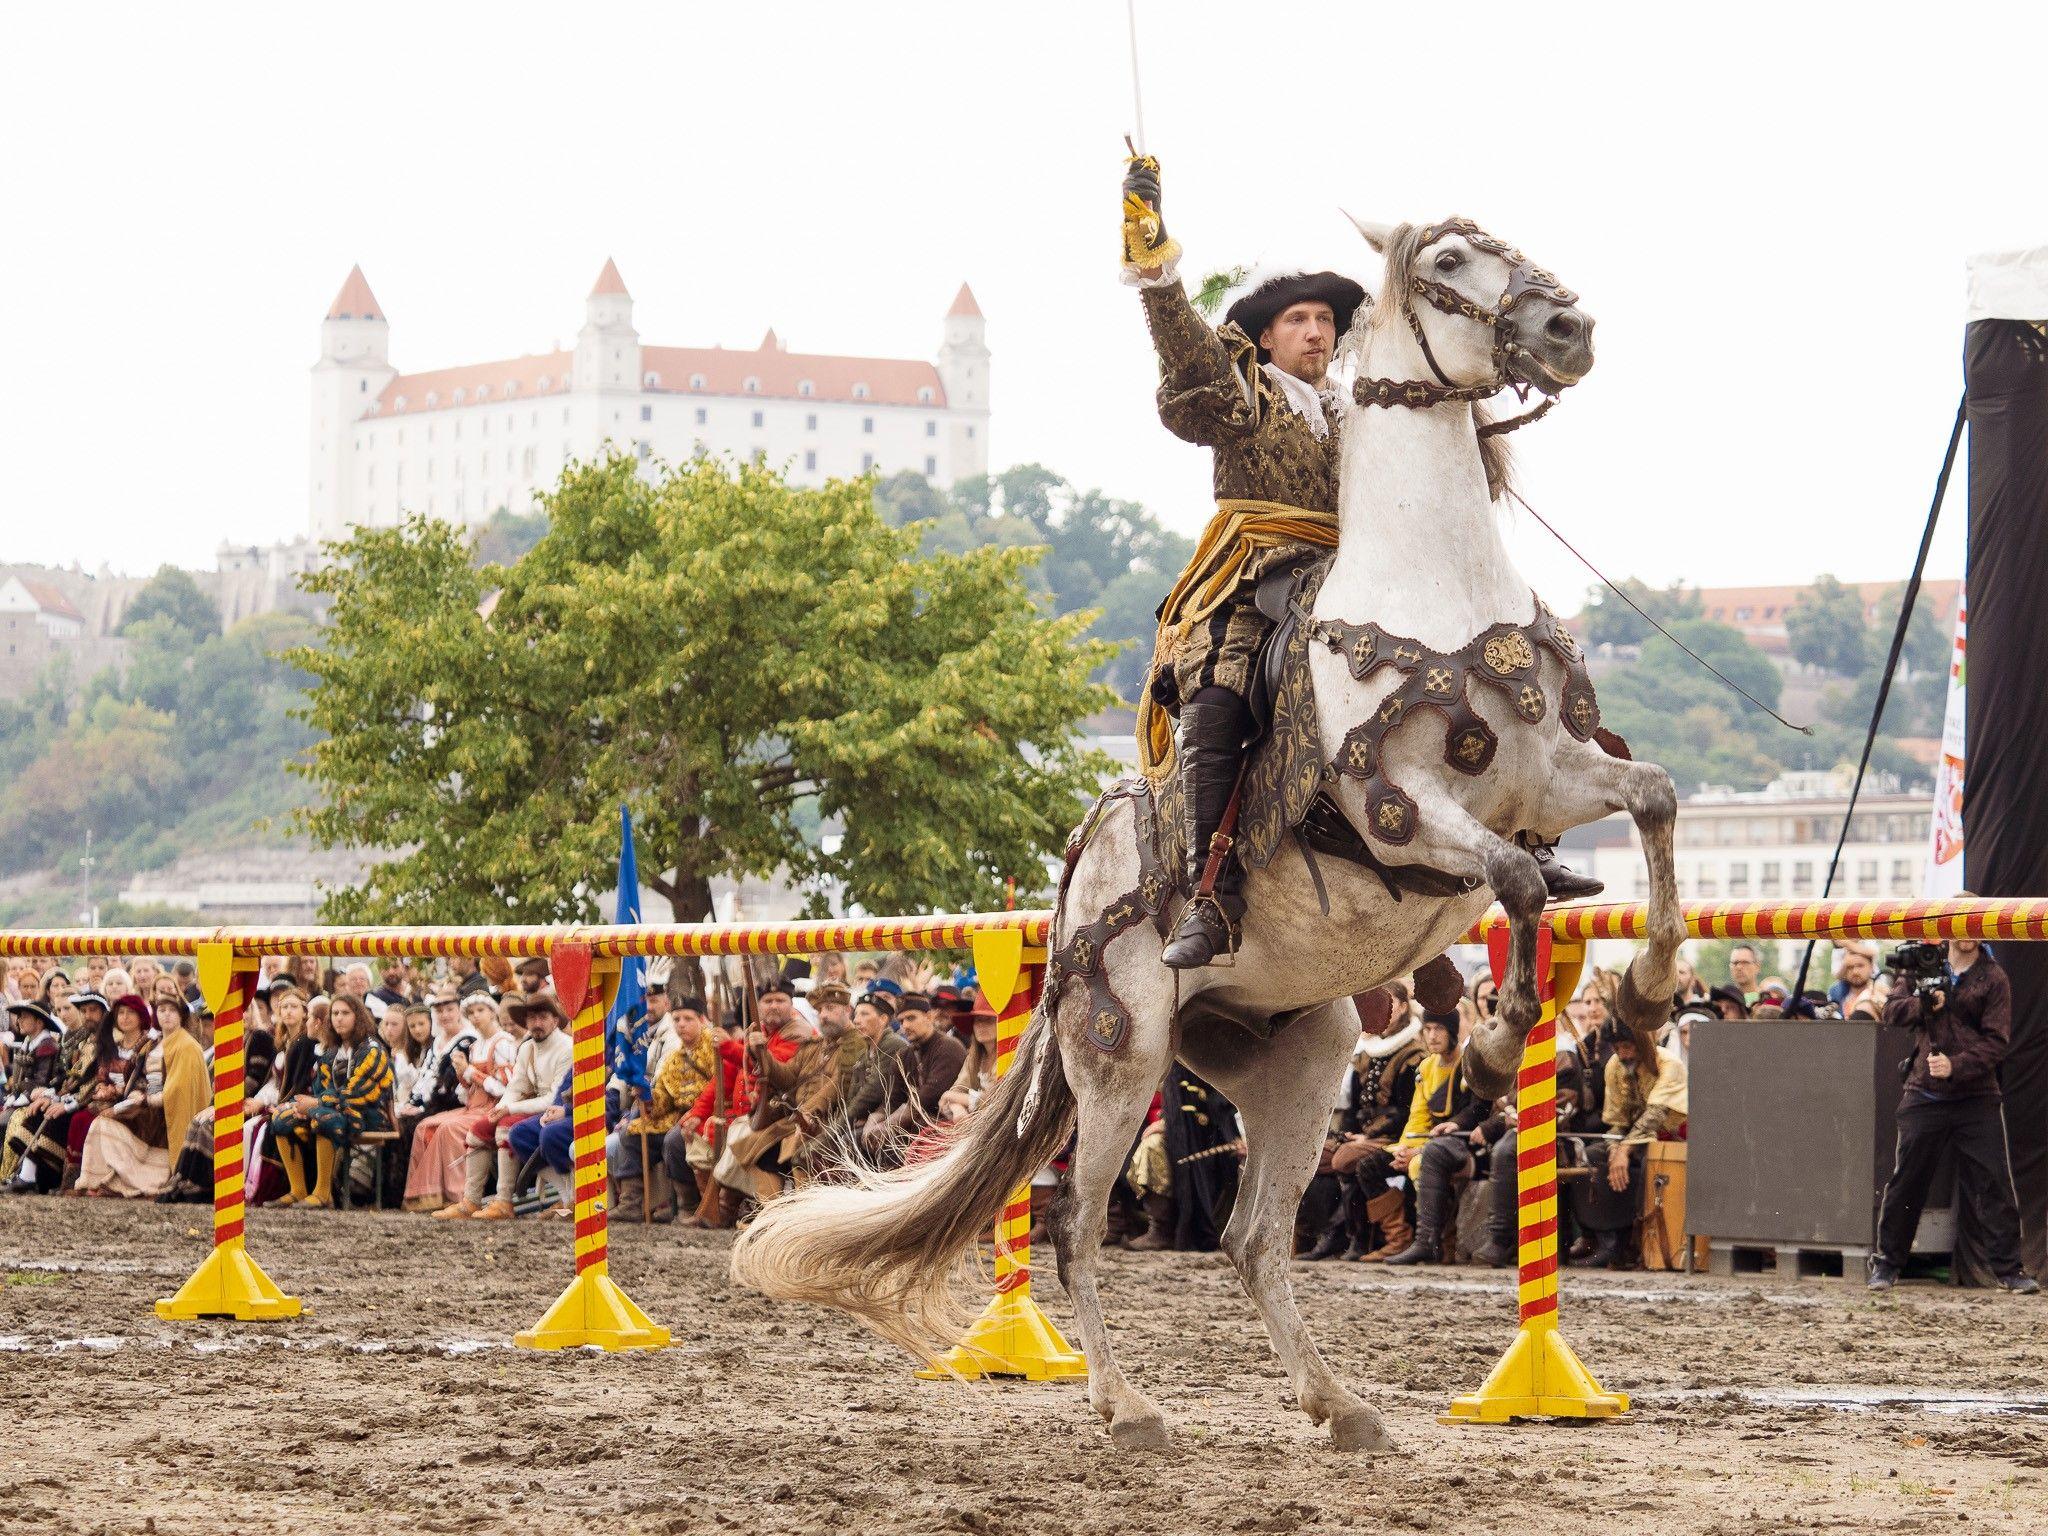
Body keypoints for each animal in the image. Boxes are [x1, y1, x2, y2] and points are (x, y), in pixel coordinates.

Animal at [733, 214, 1679, 1458]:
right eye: (1443, 266)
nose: (1565, 328)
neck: (1429, 588)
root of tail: (1076, 880)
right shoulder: (1398, 810)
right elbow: (1515, 878)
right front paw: (1490, 1041)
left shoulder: (1551, 776)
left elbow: (1648, 800)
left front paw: (1642, 996)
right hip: (1118, 1050)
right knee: (1075, 1229)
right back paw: (1126, 1405)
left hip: (1298, 1059)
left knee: (1247, 1238)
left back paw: (1337, 1404)